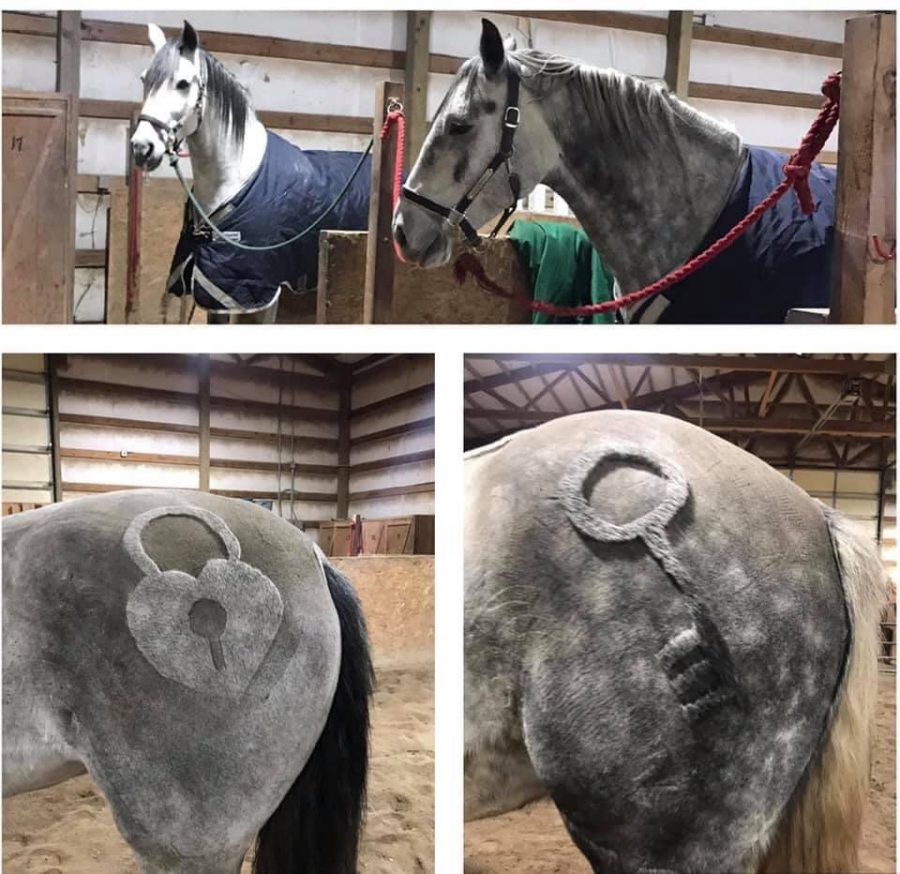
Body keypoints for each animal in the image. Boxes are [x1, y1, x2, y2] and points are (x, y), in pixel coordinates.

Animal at [131, 21, 371, 324]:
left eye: (183, 83)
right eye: (144, 79)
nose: (142, 147)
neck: (235, 178)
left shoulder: (259, 294)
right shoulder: (218, 294)